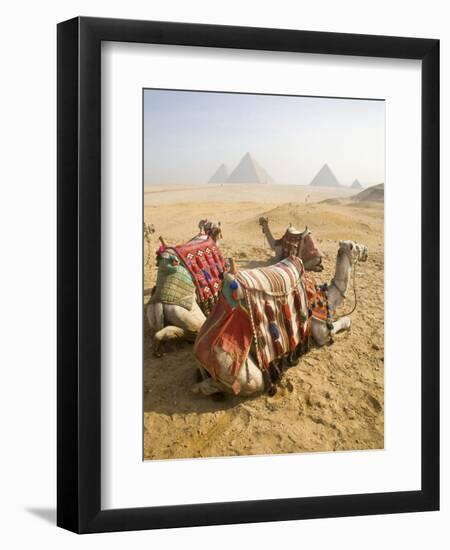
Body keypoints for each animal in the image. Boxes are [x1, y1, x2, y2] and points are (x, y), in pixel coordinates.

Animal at [193, 242, 370, 396]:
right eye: (356, 246)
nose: (366, 251)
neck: (327, 297)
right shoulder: (319, 330)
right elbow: (342, 323)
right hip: (239, 371)